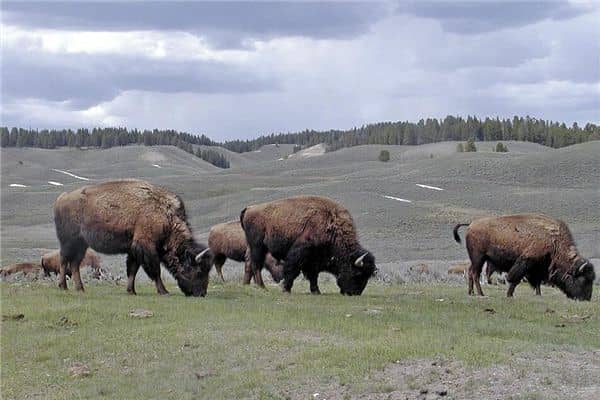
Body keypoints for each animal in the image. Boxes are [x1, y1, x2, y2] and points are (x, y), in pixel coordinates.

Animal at [52, 180, 213, 296]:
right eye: (199, 271)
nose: (201, 293)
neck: (166, 216)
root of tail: (61, 198)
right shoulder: (146, 247)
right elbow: (155, 270)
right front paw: (163, 291)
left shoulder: (134, 250)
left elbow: (132, 270)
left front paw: (131, 291)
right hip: (69, 242)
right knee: (64, 260)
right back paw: (63, 286)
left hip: (82, 244)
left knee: (74, 264)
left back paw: (80, 288)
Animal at [239, 195, 376, 296]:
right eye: (358, 274)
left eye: (368, 276)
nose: (355, 293)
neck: (331, 226)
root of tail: (249, 208)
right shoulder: (300, 253)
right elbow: (292, 270)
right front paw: (286, 289)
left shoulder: (314, 260)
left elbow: (313, 275)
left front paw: (316, 291)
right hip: (257, 246)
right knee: (256, 265)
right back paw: (262, 287)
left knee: (252, 264)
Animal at [454, 214, 596, 298]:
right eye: (583, 279)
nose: (586, 298)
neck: (553, 241)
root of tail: (471, 224)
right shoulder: (526, 263)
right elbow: (515, 279)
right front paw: (510, 295)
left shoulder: (538, 268)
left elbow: (537, 282)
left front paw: (538, 294)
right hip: (479, 258)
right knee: (475, 274)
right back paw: (481, 294)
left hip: (477, 259)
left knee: (471, 272)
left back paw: (471, 293)